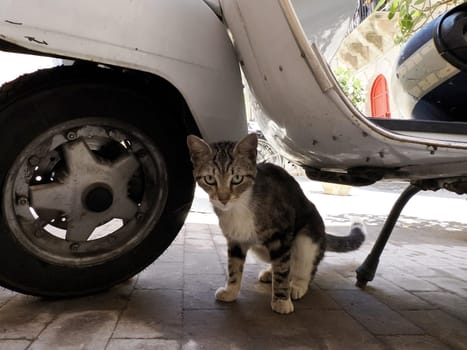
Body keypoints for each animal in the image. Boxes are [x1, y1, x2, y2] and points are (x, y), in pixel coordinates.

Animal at [186, 133, 366, 314]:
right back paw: (269, 273)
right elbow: (234, 267)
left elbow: (282, 271)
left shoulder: (282, 234)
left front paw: (281, 300)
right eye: (210, 179)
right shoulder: (235, 239)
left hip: (307, 237)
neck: (240, 207)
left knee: (305, 267)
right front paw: (230, 291)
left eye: (237, 178)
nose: (223, 199)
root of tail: (323, 235)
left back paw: (297, 285)